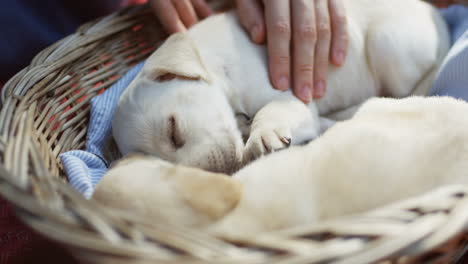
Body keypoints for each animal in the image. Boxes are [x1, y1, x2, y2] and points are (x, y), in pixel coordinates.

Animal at [112, 0, 450, 173]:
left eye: (174, 131)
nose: (221, 175)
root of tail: (439, 19)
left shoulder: (291, 96)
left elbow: (272, 111)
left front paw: (264, 135)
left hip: (386, 44)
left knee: (399, 92)